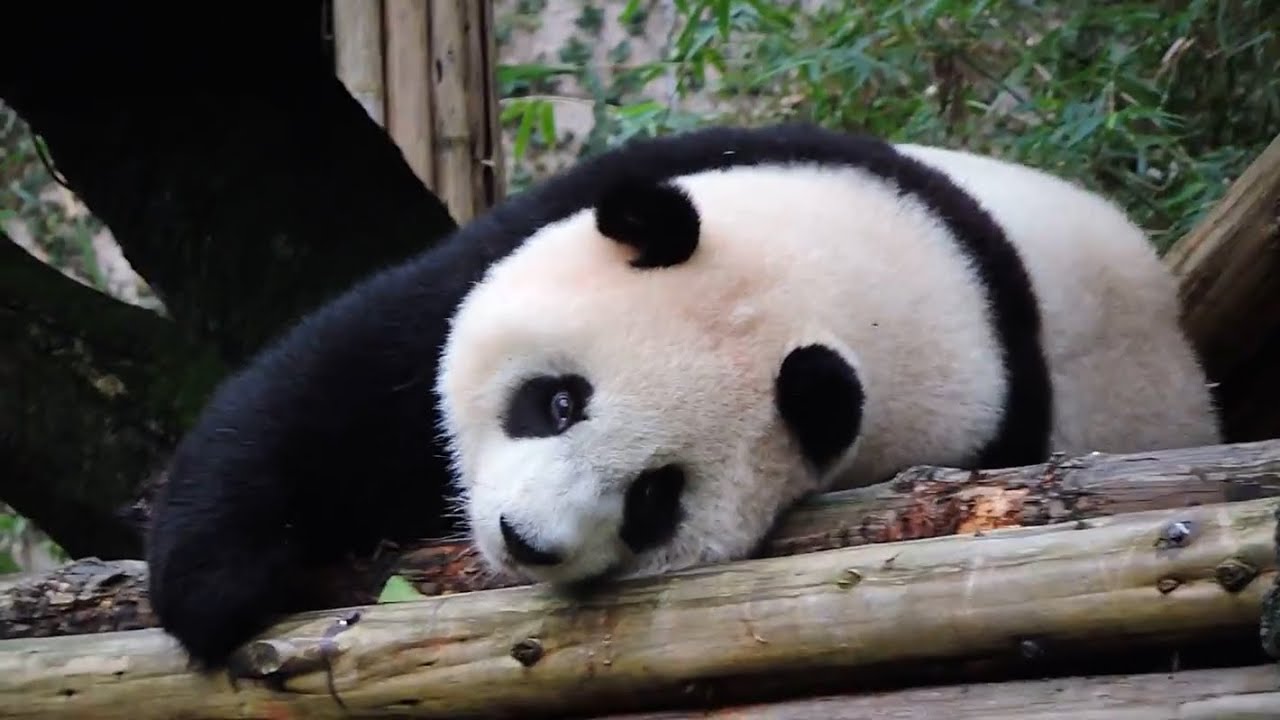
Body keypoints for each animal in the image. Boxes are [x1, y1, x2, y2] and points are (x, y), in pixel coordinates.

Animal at [145, 122, 1220, 671]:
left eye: (655, 495)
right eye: (559, 403)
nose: (523, 540)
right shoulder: (617, 188)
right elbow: (349, 377)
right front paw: (221, 586)